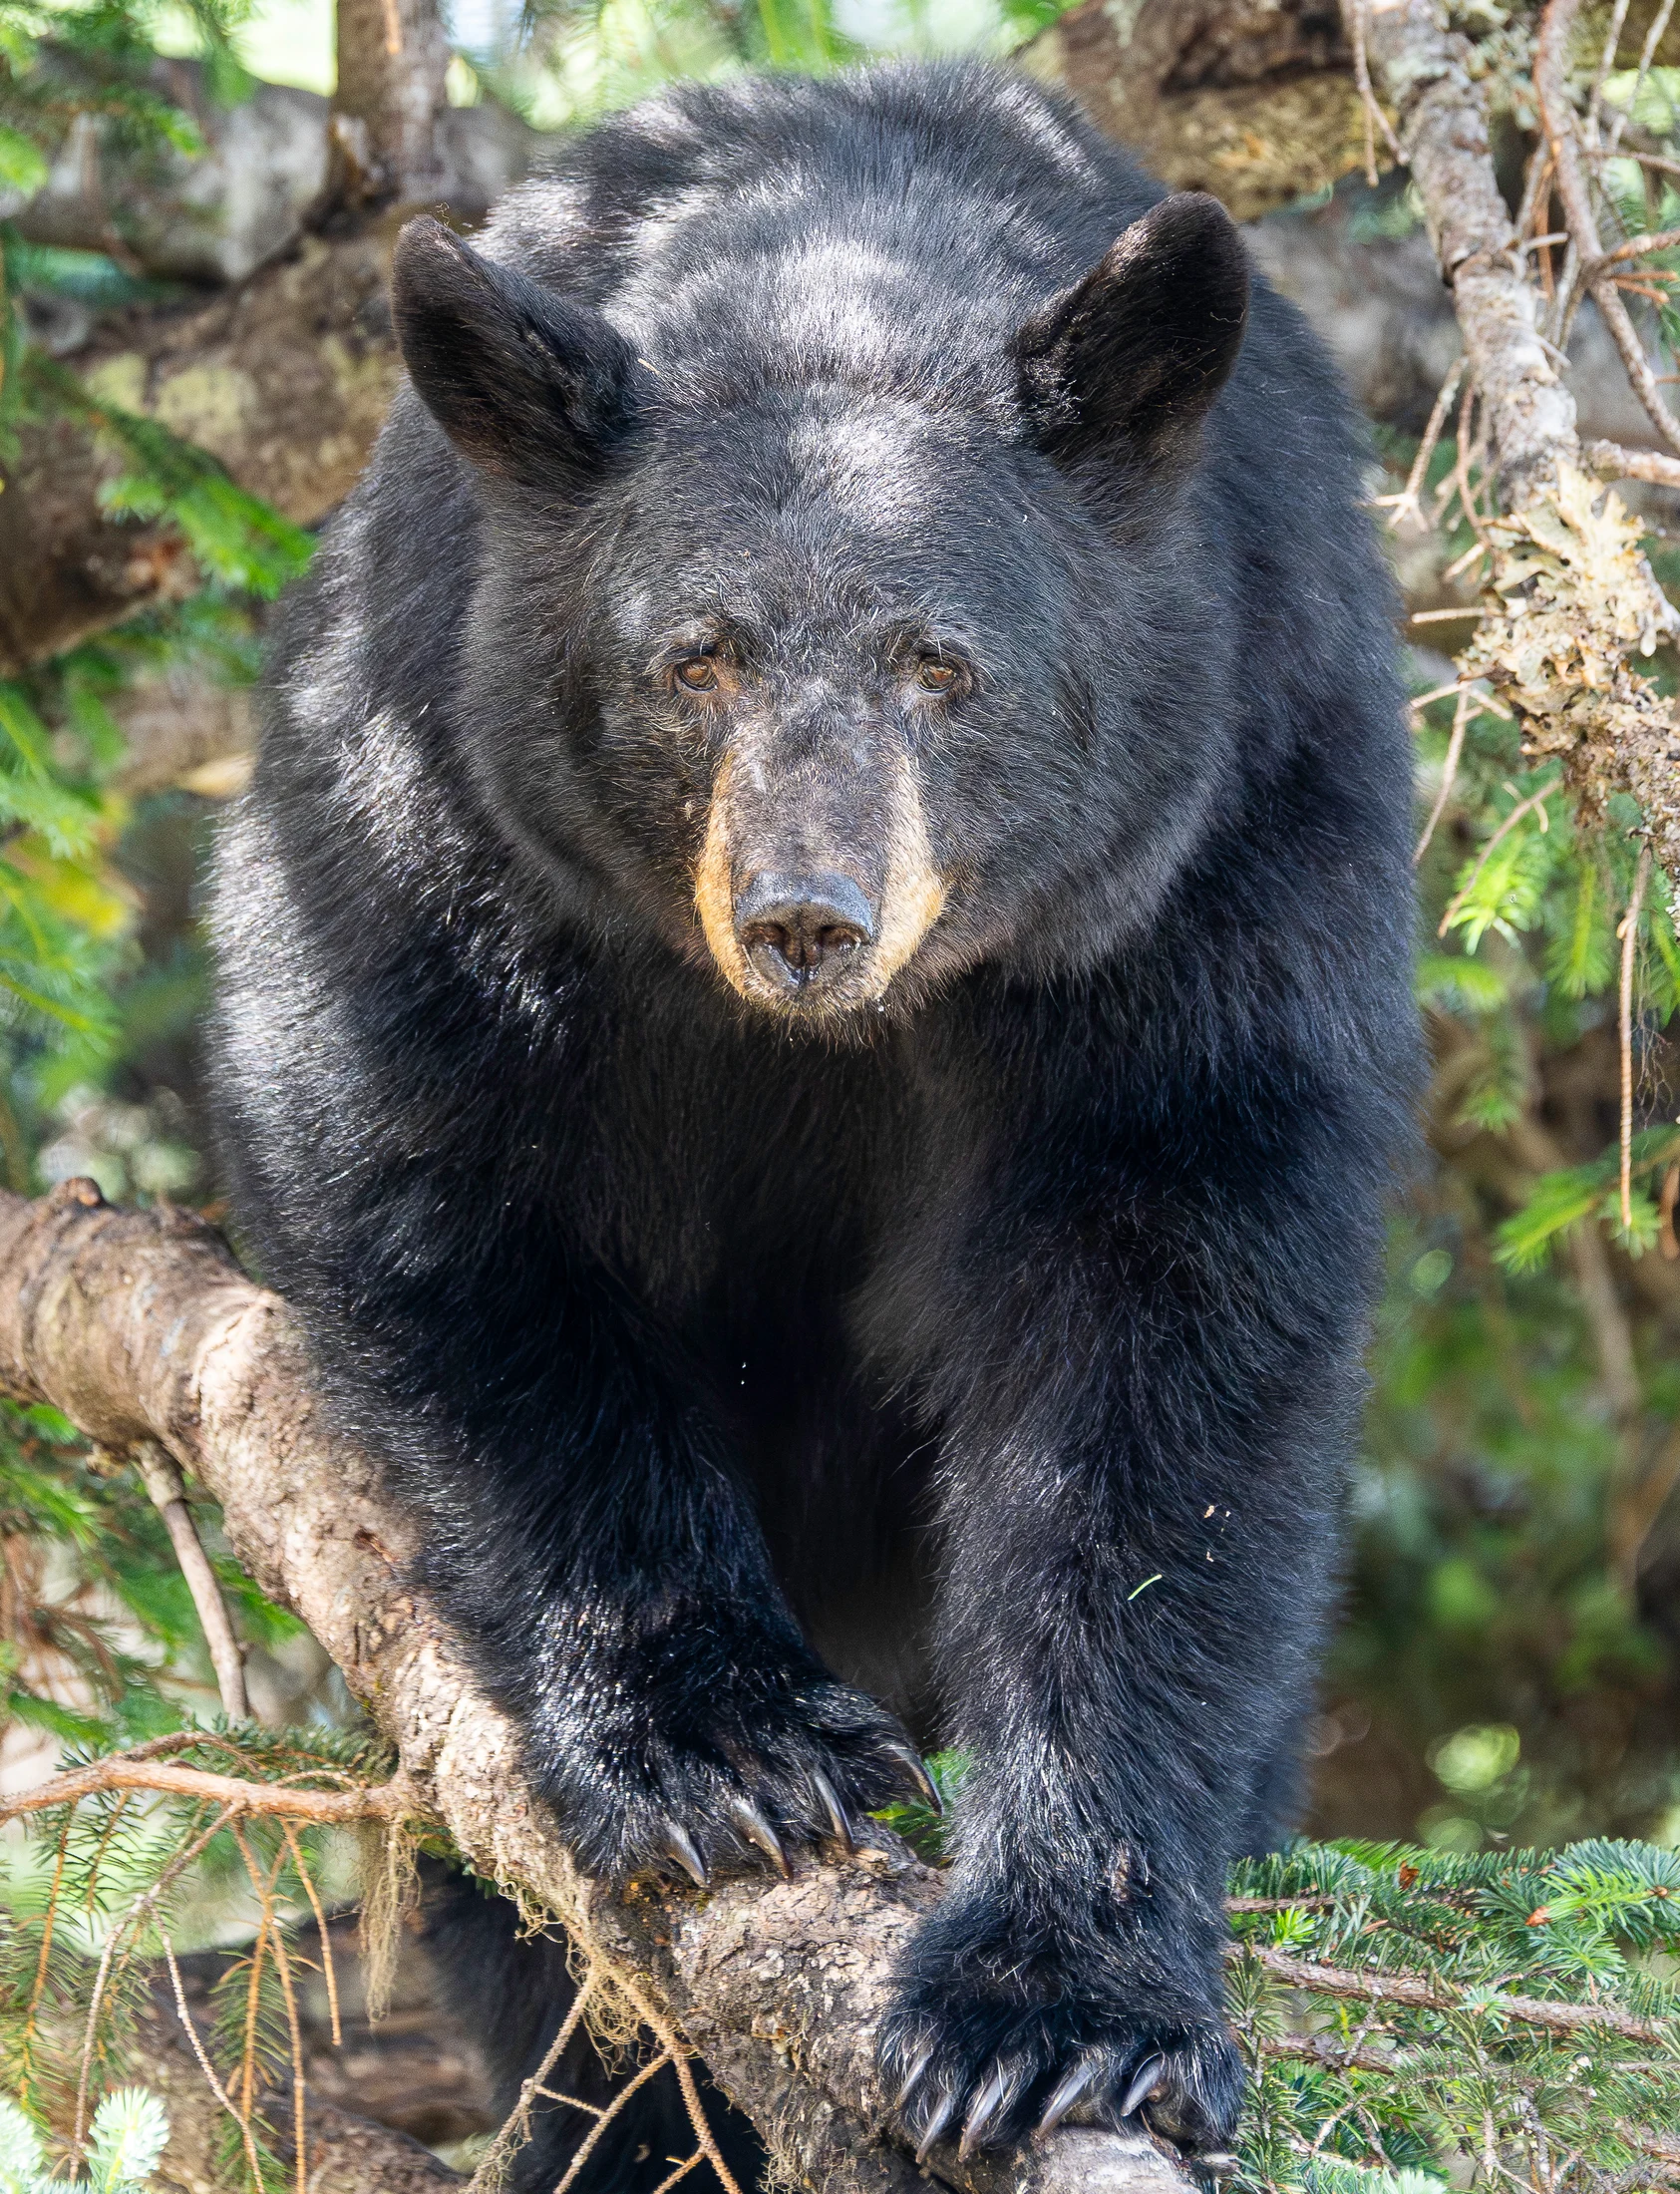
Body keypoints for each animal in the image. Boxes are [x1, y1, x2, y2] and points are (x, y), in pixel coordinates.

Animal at [208, 57, 1415, 2181]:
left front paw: (1060, 2002)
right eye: (694, 657)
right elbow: (434, 1176)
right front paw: (725, 1744)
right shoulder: (429, 782)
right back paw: (612, 2114)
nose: (804, 918)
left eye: (945, 665)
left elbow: (1171, 1304)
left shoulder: (1230, 833)